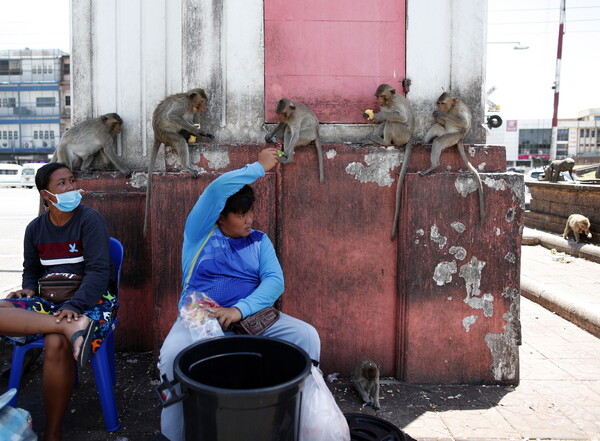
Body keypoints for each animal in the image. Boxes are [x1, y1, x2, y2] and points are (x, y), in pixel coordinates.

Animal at [145, 87, 216, 235]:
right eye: (203, 101)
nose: (205, 107)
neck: (190, 105)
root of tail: (157, 134)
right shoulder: (182, 105)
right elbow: (173, 116)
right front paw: (197, 131)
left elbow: (187, 121)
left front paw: (199, 132)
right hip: (167, 135)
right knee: (179, 140)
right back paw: (186, 165)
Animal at [364, 84, 414, 239]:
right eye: (377, 96)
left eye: (382, 95)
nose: (379, 101)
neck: (389, 101)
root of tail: (411, 136)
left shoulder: (394, 104)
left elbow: (400, 116)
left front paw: (378, 115)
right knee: (388, 121)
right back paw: (373, 138)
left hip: (402, 134)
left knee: (392, 121)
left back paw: (384, 141)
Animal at [418, 93, 488, 223]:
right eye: (438, 103)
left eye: (442, 103)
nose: (439, 108)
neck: (451, 108)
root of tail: (460, 139)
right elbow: (440, 122)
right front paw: (436, 115)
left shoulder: (458, 109)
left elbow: (464, 122)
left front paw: (442, 115)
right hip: (445, 132)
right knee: (437, 127)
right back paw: (423, 142)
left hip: (452, 137)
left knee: (438, 141)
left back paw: (433, 165)